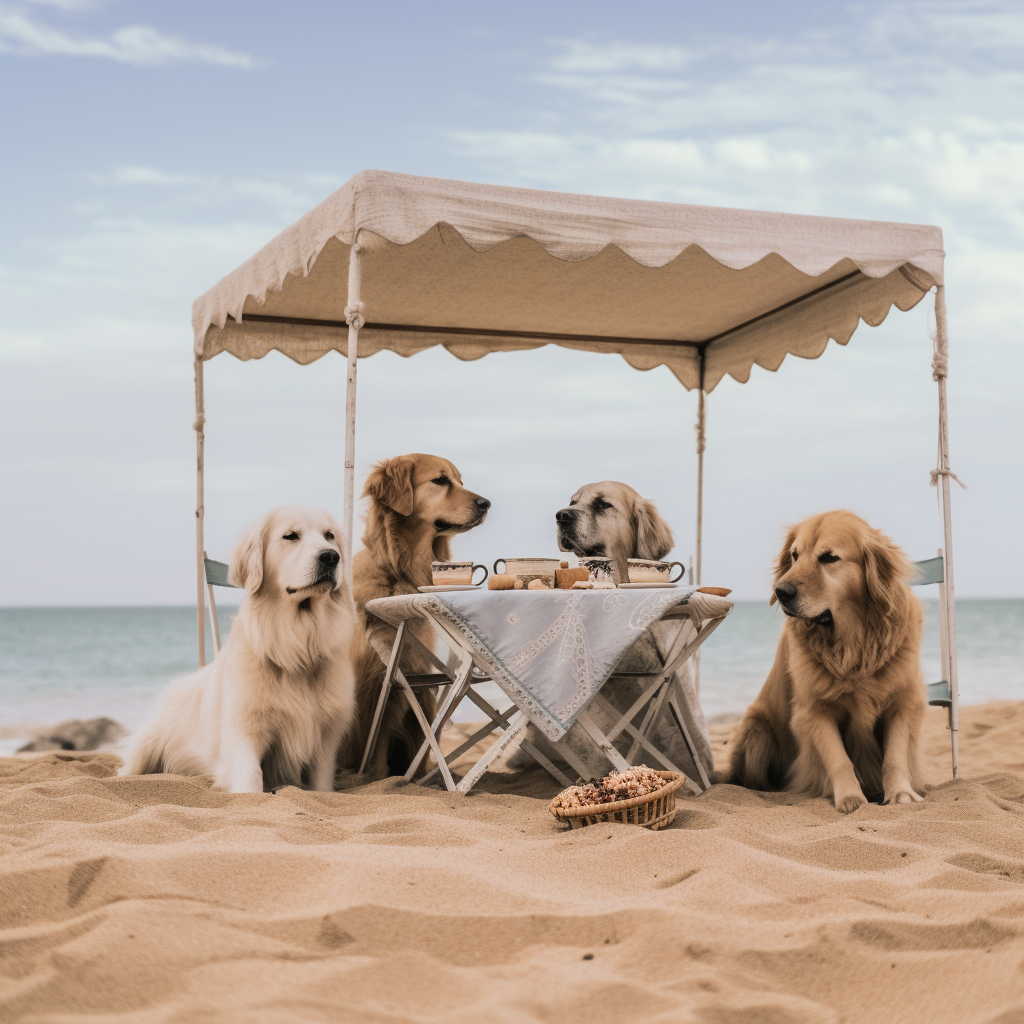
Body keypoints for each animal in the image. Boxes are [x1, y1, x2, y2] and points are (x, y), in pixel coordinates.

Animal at [119, 507, 358, 794]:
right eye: (290, 536)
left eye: (329, 536)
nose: (331, 557)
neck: (296, 645)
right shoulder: (244, 729)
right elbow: (251, 776)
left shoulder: (326, 736)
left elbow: (321, 784)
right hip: (147, 744)